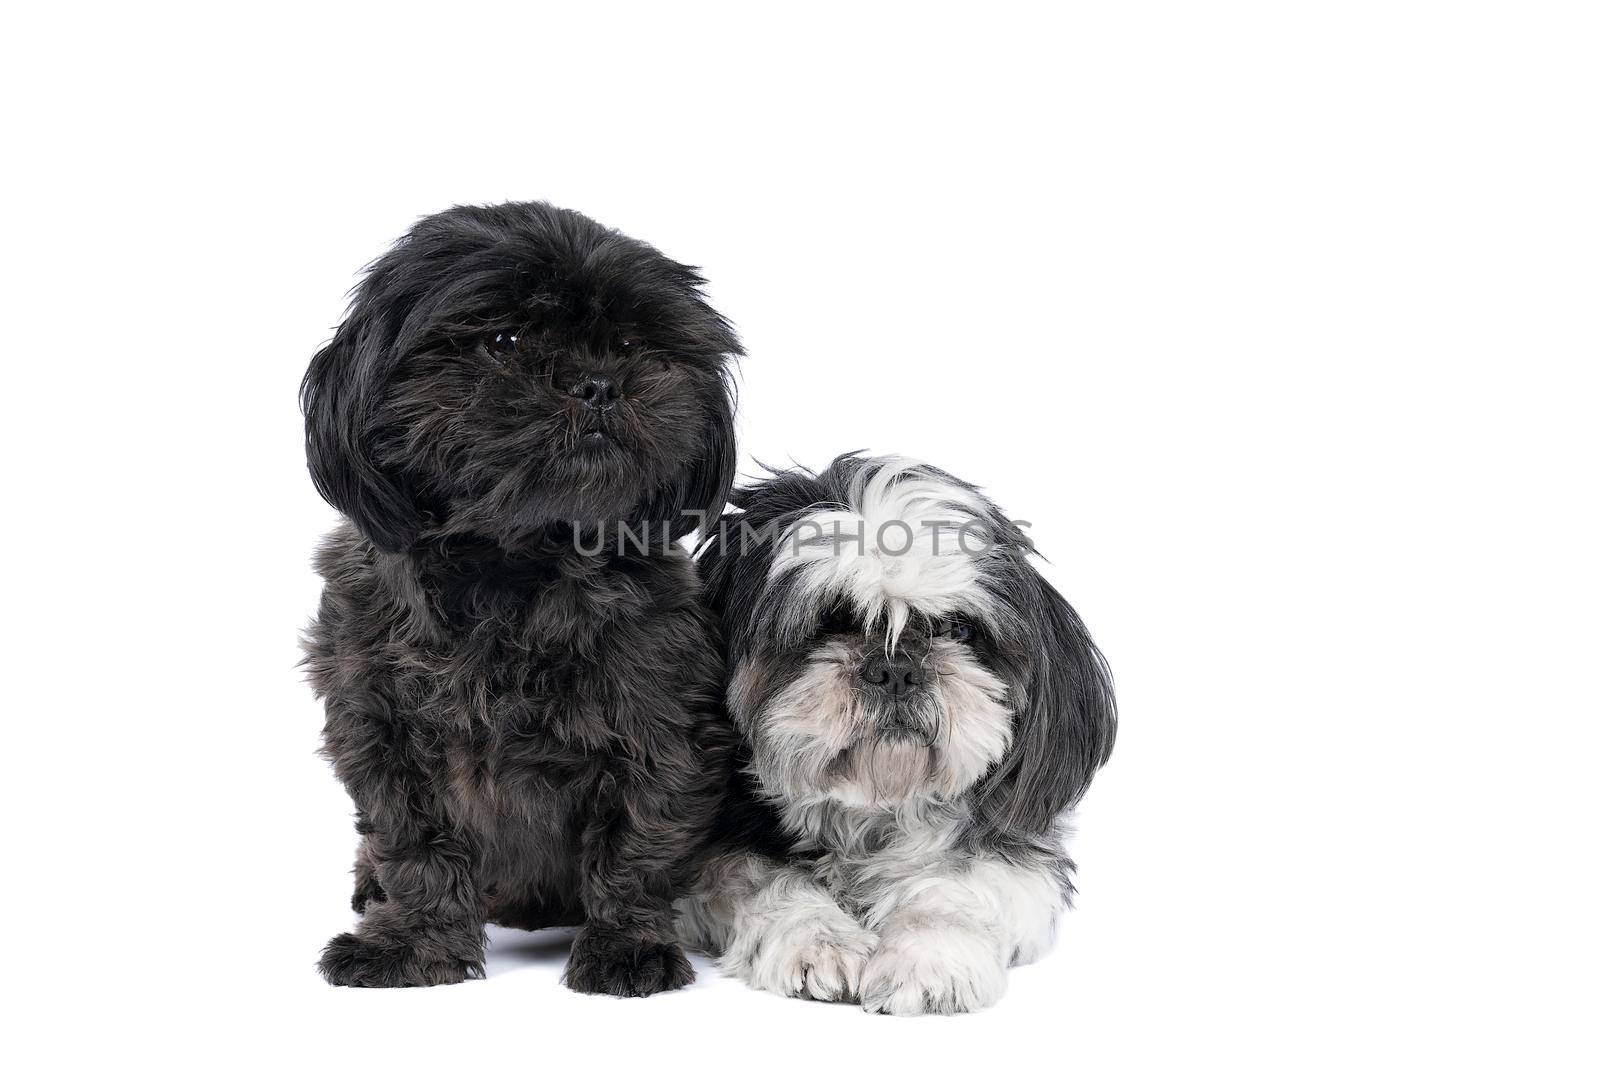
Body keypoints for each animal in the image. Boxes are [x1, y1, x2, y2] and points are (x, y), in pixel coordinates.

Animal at [302, 202, 739, 991]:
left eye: (633, 345)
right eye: (504, 341)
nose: (598, 382)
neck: (514, 563)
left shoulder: (662, 721)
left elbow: (639, 840)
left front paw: (627, 944)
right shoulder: (381, 727)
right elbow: (416, 845)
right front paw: (413, 943)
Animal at [681, 454, 1120, 1017]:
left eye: (958, 629)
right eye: (830, 621)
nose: (896, 669)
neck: (872, 812)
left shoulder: (1016, 859)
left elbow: (958, 889)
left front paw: (927, 958)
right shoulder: (713, 858)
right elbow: (762, 881)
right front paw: (818, 939)